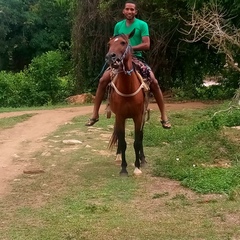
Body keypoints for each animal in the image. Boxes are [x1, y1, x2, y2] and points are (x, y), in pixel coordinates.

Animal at [106, 30, 148, 176]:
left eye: (123, 43)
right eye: (109, 44)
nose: (110, 57)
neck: (128, 88)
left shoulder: (138, 117)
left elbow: (137, 141)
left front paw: (137, 167)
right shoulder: (120, 116)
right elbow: (123, 141)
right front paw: (123, 168)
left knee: (141, 137)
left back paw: (143, 159)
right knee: (119, 137)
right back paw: (118, 156)